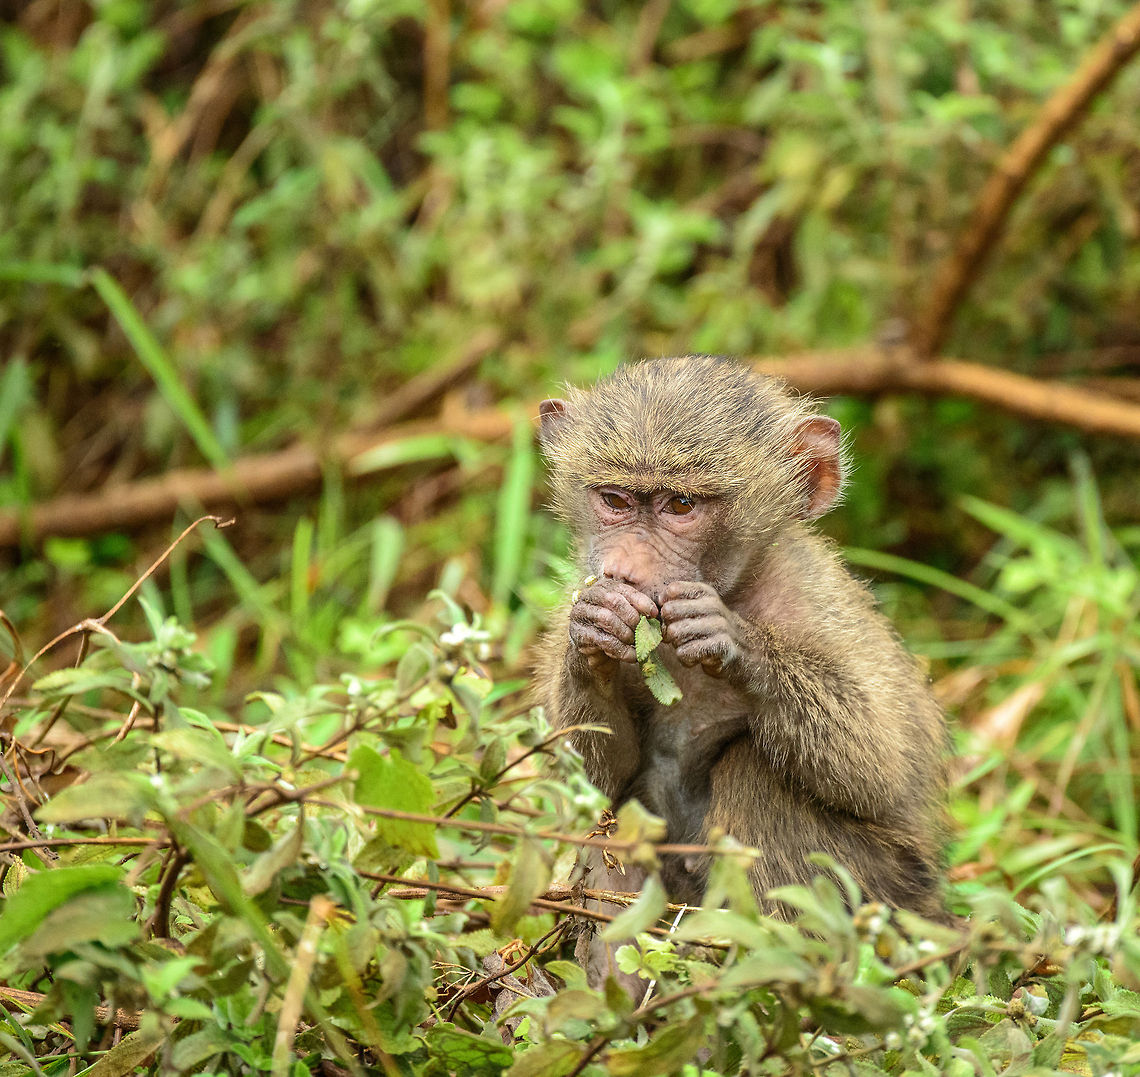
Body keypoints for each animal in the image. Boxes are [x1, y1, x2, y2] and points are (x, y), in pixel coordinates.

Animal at [534, 356, 949, 952]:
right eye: (614, 500)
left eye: (681, 505)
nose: (626, 573)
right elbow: (596, 782)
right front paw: (596, 625)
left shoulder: (812, 600)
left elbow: (879, 772)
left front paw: (734, 641)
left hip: (888, 894)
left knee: (753, 772)